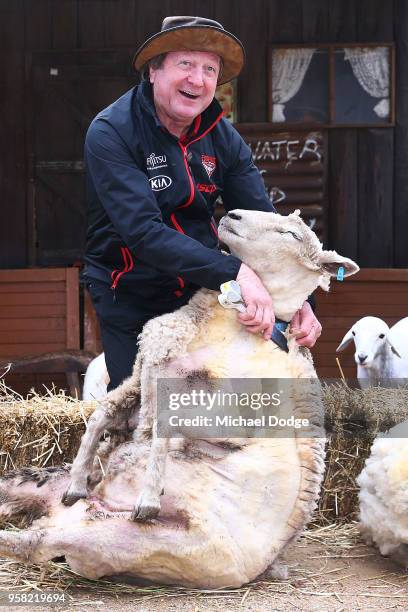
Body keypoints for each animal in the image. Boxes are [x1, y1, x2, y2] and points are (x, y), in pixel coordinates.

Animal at [0, 210, 358, 588]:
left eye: (291, 234)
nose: (232, 214)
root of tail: (60, 517)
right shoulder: (141, 375)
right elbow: (101, 418)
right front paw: (81, 476)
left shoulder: (220, 408)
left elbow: (160, 428)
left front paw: (148, 494)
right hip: (41, 482)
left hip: (128, 539)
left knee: (37, 544)